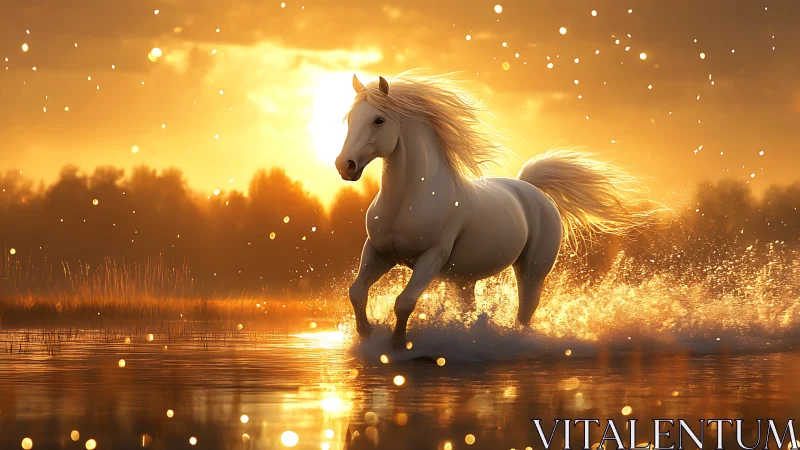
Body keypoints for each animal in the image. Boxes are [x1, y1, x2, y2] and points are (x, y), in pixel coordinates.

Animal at [335, 71, 653, 349]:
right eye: (350, 119)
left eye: (378, 120)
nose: (345, 166)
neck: (408, 200)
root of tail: (532, 190)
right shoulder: (379, 252)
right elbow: (357, 293)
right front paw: (367, 335)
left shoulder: (431, 257)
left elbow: (404, 302)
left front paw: (398, 344)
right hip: (463, 280)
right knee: (470, 309)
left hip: (532, 271)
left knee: (525, 313)